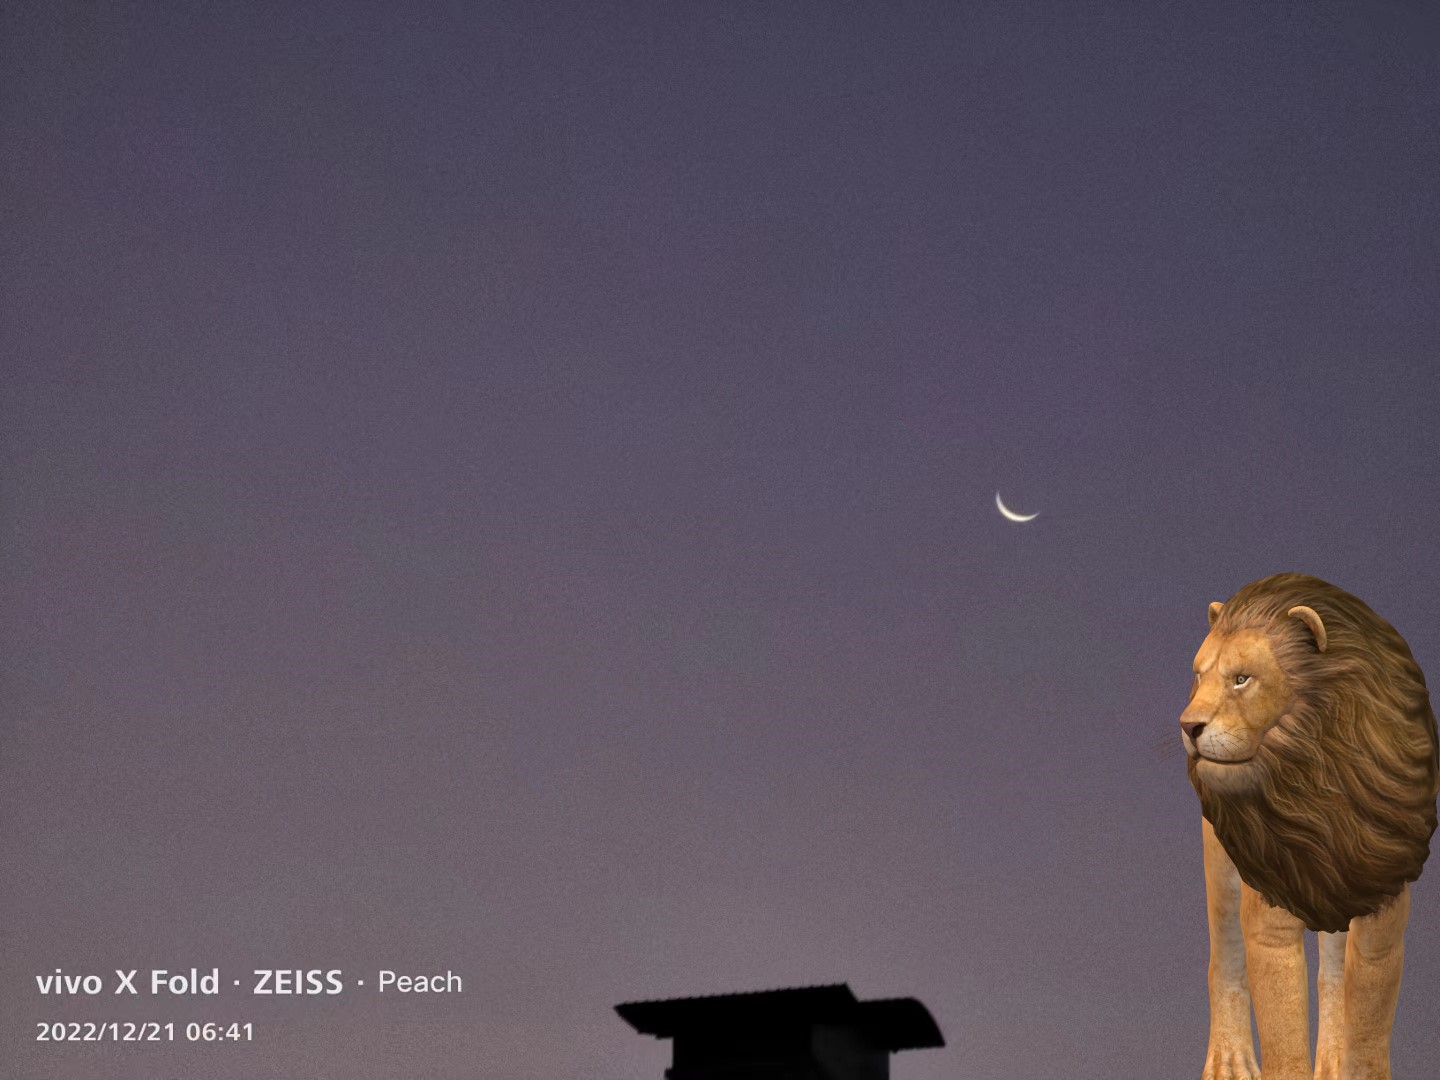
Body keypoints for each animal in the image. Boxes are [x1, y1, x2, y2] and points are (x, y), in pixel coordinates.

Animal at [1180, 573, 1438, 1080]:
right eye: (1199, 675)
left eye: (1242, 678)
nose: (1188, 726)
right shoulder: (1270, 907)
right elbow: (1283, 1030)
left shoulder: (1382, 903)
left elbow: (1370, 1021)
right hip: (1221, 864)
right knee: (1224, 955)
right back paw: (1228, 1060)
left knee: (1335, 972)